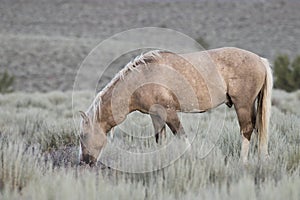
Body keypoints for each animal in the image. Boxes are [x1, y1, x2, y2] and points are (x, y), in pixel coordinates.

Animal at [78, 47, 274, 166]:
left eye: (83, 135)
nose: (83, 161)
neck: (141, 78)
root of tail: (259, 60)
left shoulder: (169, 113)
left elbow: (182, 137)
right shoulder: (156, 116)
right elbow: (160, 140)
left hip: (243, 105)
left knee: (247, 130)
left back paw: (243, 162)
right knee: (257, 129)